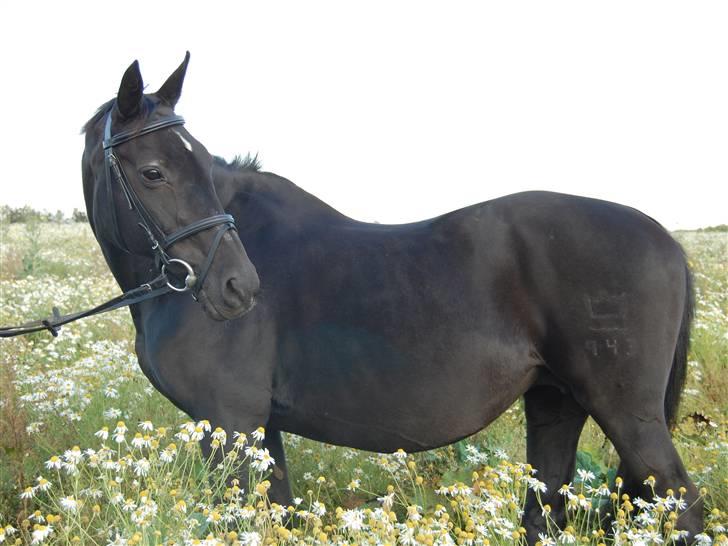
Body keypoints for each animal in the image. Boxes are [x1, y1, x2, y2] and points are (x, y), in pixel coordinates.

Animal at [82, 53, 704, 536]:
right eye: (154, 171)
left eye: (199, 163)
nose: (238, 287)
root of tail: (666, 240)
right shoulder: (259, 428)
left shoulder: (228, 424)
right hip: (555, 403)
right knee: (544, 512)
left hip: (629, 416)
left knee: (683, 507)